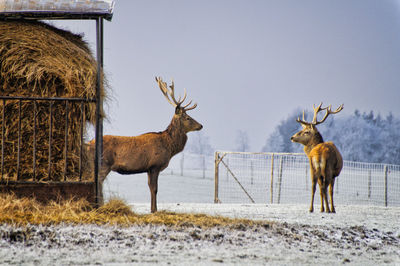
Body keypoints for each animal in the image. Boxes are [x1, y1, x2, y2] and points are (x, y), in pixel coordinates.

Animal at [86, 76, 202, 212]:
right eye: (188, 117)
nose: (201, 125)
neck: (169, 146)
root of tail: (88, 144)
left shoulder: (148, 168)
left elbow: (150, 188)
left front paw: (152, 209)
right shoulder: (155, 165)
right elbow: (155, 189)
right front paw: (154, 210)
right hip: (104, 163)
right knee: (98, 182)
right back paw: (99, 206)